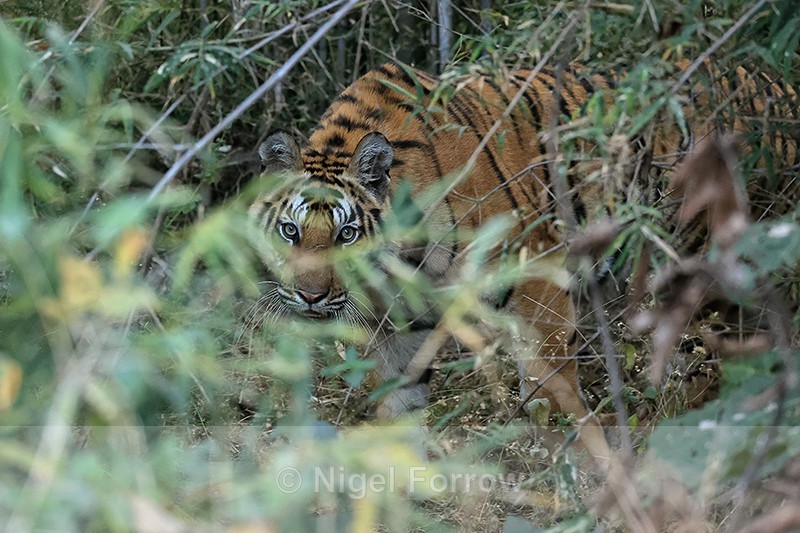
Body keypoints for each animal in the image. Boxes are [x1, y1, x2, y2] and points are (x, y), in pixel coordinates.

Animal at [248, 60, 797, 464]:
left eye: (347, 234)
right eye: (291, 231)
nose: (311, 296)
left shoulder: (538, 279)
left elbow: (553, 388)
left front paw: (572, 461)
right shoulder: (398, 325)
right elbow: (397, 407)